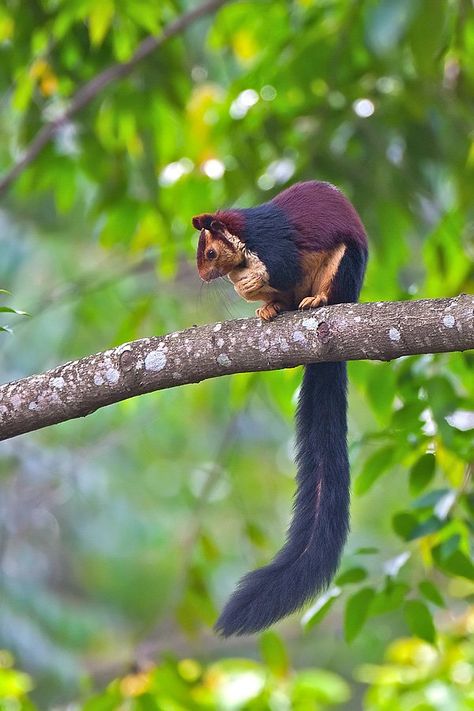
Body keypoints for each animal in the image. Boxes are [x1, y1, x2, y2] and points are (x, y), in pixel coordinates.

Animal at [192, 181, 366, 636]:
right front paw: (250, 291)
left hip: (344, 267)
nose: (202, 277)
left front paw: (250, 280)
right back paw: (273, 307)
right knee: (286, 300)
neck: (245, 239)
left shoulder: (274, 244)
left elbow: (281, 267)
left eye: (210, 253)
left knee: (323, 289)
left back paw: (317, 300)